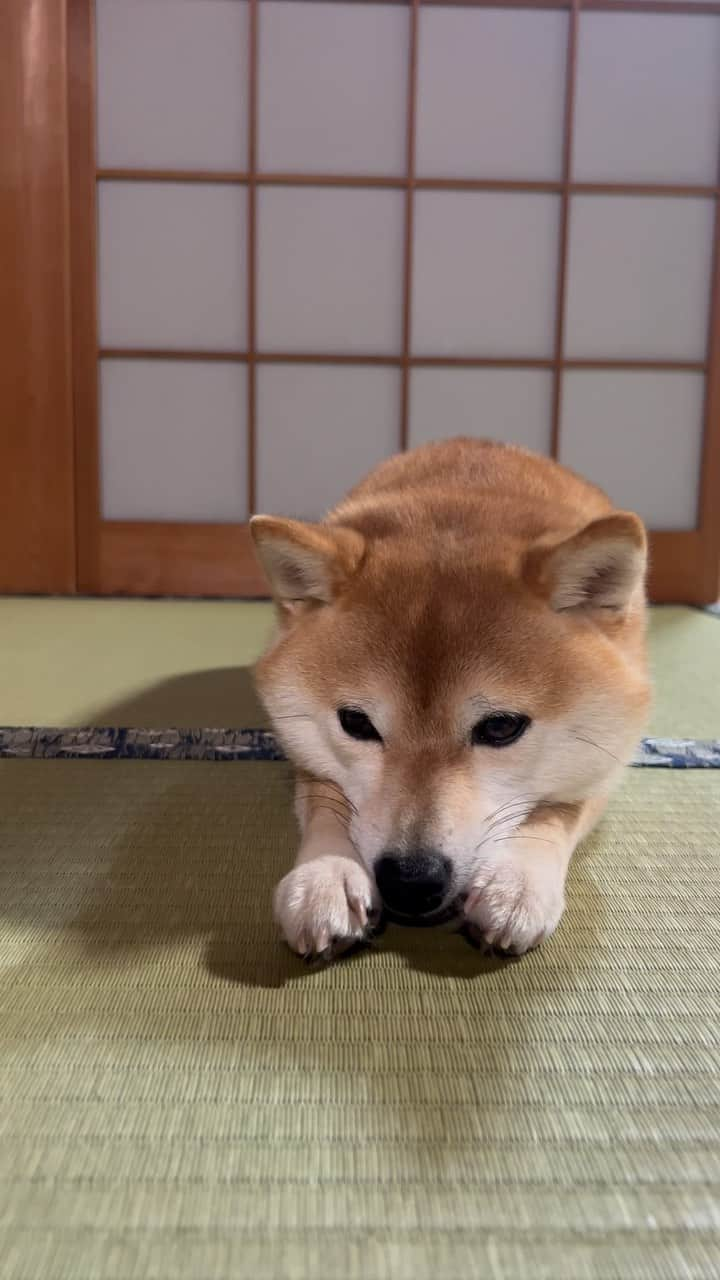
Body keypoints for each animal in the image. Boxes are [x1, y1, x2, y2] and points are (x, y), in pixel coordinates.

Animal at [252, 440, 650, 962]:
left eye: (501, 727)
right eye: (355, 723)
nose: (410, 879)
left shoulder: (608, 757)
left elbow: (555, 811)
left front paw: (517, 881)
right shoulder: (301, 748)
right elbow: (327, 797)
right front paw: (327, 873)